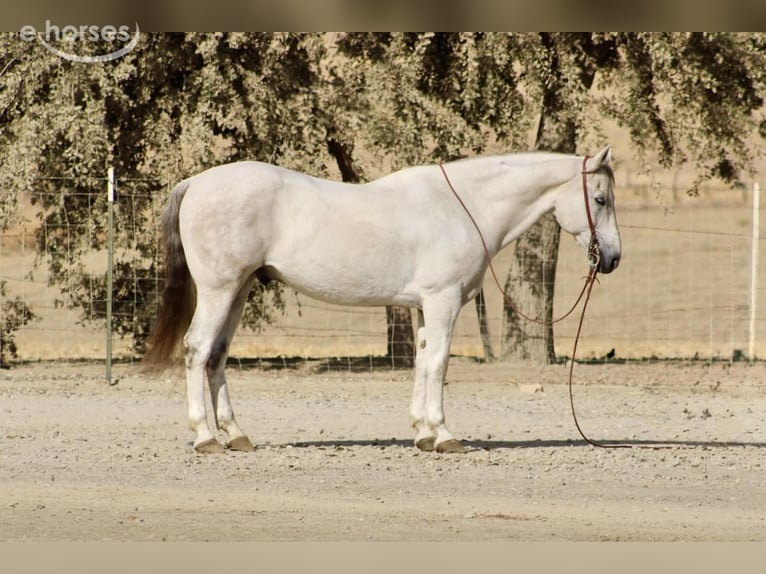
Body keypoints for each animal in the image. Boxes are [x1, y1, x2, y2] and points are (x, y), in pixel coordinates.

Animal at [142, 145, 621, 454]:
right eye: (600, 198)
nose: (613, 258)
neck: (462, 207)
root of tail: (196, 183)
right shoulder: (443, 301)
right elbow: (439, 363)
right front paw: (445, 437)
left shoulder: (425, 306)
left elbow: (423, 361)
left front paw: (423, 434)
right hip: (219, 290)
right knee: (197, 350)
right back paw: (206, 438)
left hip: (239, 291)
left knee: (217, 356)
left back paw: (236, 435)